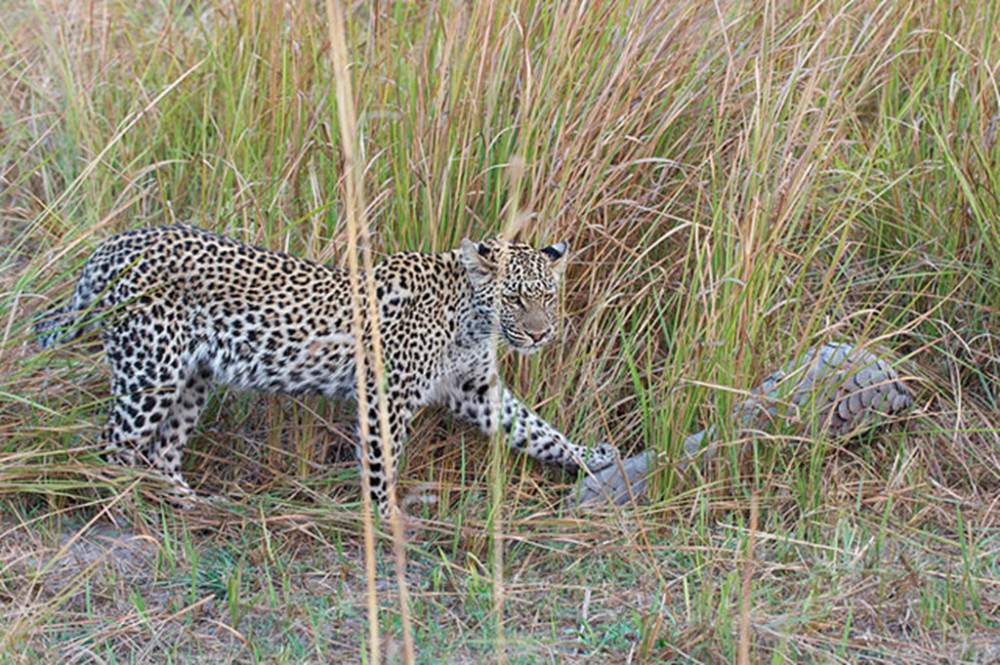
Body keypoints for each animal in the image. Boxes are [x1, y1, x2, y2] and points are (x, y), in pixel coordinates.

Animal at [35, 226, 616, 516]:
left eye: (548, 297)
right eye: (514, 299)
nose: (541, 334)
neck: (467, 318)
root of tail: (110, 245)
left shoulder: (476, 387)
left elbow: (535, 429)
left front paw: (590, 458)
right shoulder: (387, 396)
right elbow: (383, 463)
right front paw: (386, 521)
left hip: (192, 376)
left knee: (161, 451)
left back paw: (188, 504)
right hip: (150, 368)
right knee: (113, 446)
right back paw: (123, 509)